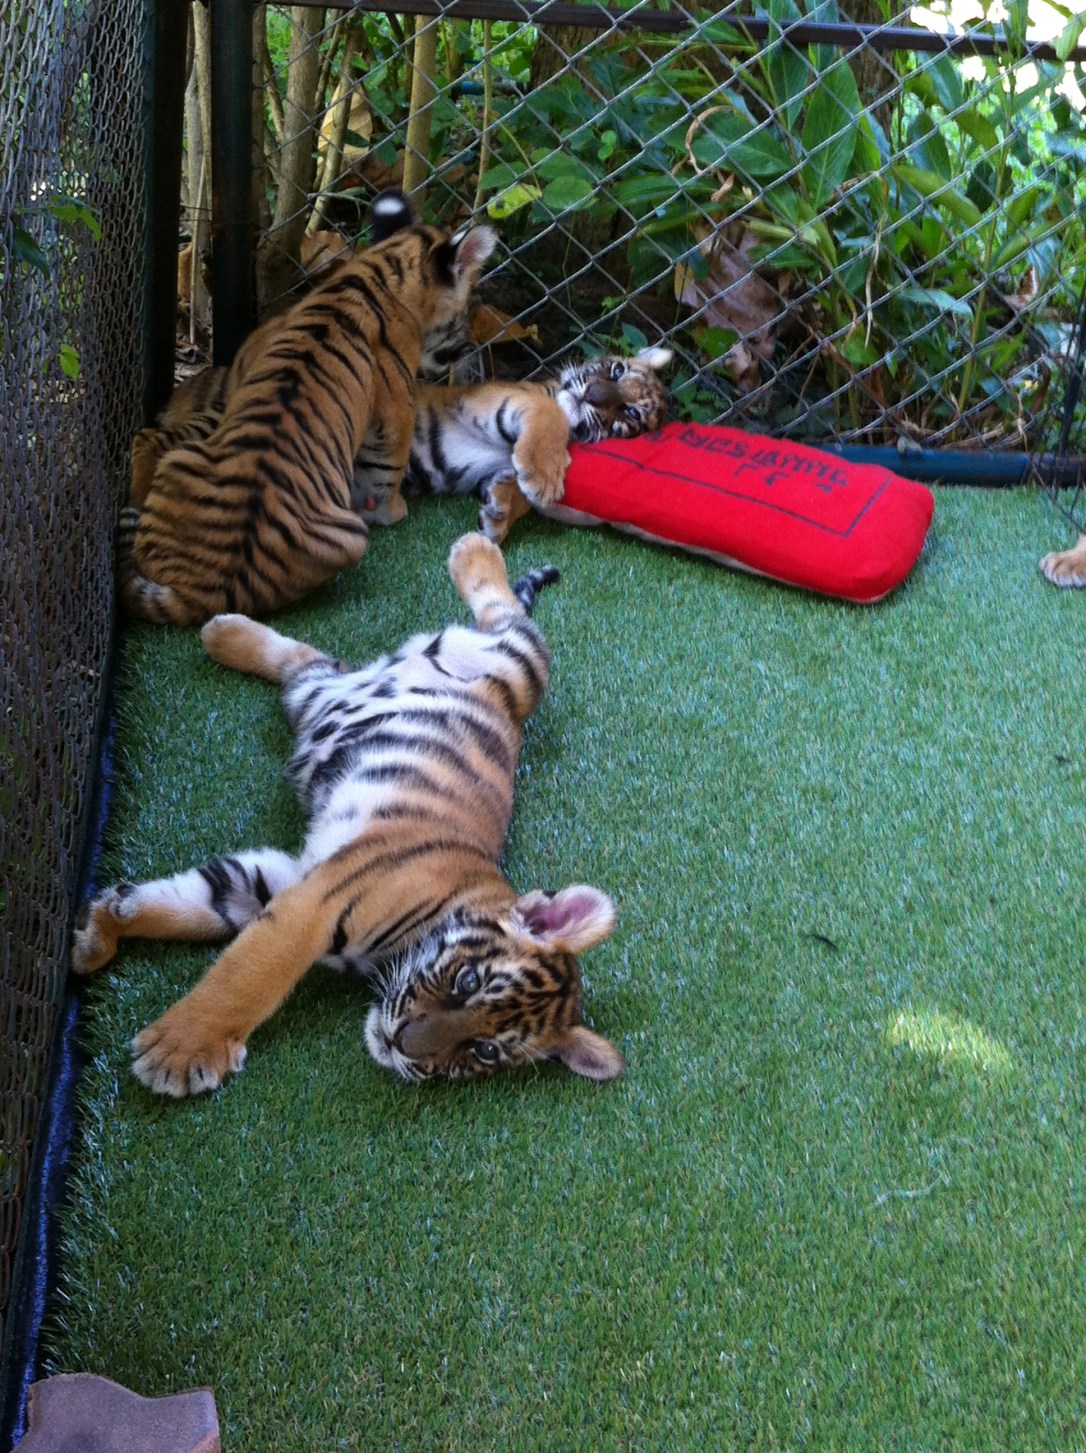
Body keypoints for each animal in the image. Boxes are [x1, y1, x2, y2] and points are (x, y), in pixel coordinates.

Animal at [71, 532, 624, 1094]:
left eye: (484, 1051)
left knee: (311, 660)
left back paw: (223, 632)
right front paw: (180, 1051)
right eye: (467, 980)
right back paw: (473, 548)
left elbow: (186, 903)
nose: (405, 1045)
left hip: (311, 694)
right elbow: (250, 974)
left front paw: (97, 931)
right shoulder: (314, 904)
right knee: (509, 617)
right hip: (513, 664)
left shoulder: (275, 879)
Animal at [121, 191, 496, 626]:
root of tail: (203, 593)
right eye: (471, 306)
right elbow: (385, 471)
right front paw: (393, 511)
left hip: (183, 459)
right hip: (351, 536)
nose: (466, 345)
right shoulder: (395, 412)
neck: (385, 267)